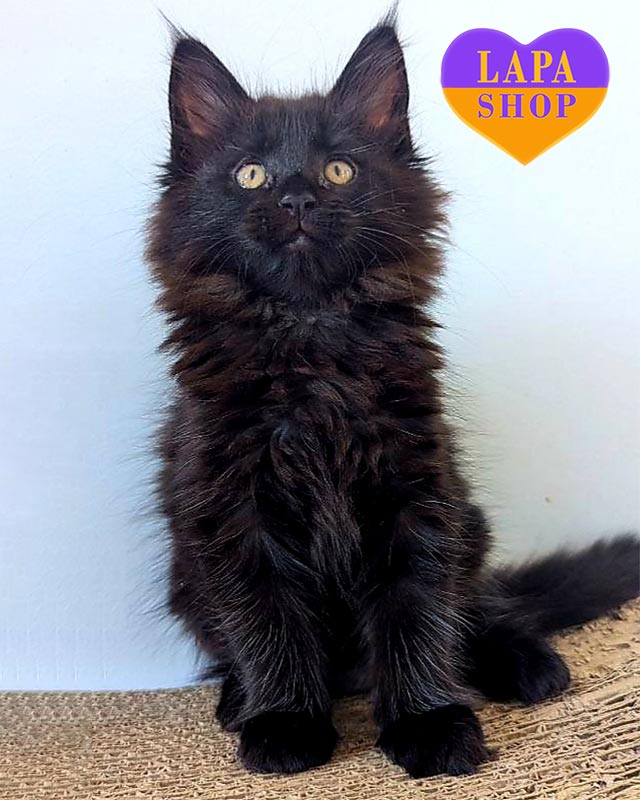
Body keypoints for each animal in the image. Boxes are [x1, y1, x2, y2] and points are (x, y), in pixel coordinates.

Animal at [146, 13, 639, 778]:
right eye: (250, 175)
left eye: (339, 170)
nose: (296, 199)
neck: (311, 346)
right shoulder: (235, 510)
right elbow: (268, 621)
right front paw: (285, 723)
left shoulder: (415, 493)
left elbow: (417, 614)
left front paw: (429, 724)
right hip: (186, 571)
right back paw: (239, 701)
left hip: (468, 523)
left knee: (476, 610)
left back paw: (526, 663)